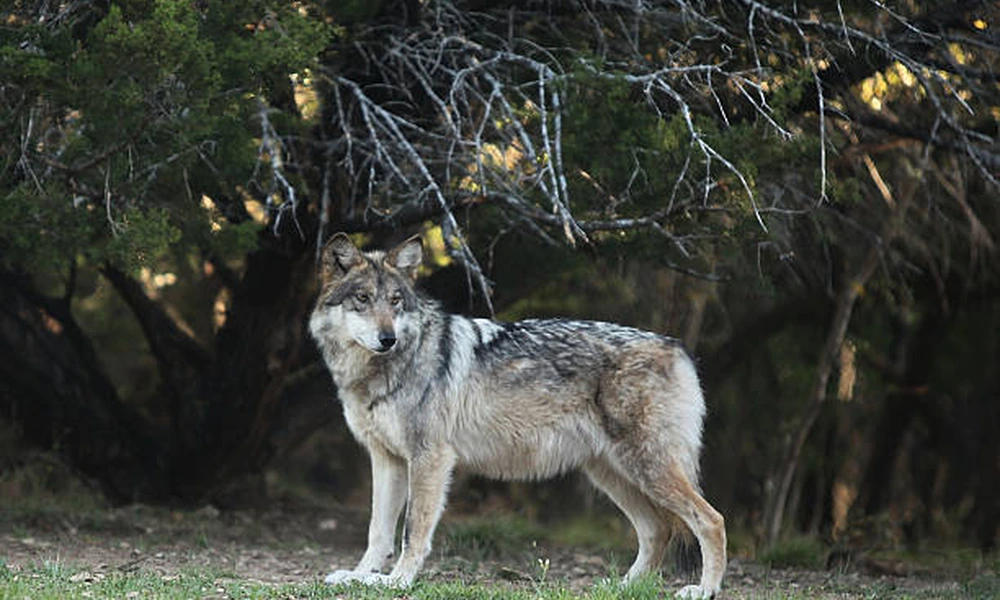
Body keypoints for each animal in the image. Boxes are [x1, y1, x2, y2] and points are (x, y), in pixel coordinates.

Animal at [308, 233, 727, 599]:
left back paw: (704, 589)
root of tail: (677, 347)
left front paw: (399, 580)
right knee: (657, 530)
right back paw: (622, 587)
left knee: (711, 520)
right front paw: (361, 576)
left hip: (645, 469)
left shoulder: (430, 459)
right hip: (611, 473)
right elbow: (378, 531)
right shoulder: (387, 459)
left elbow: (414, 529)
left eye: (396, 301)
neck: (382, 371)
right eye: (363, 299)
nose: (388, 338)